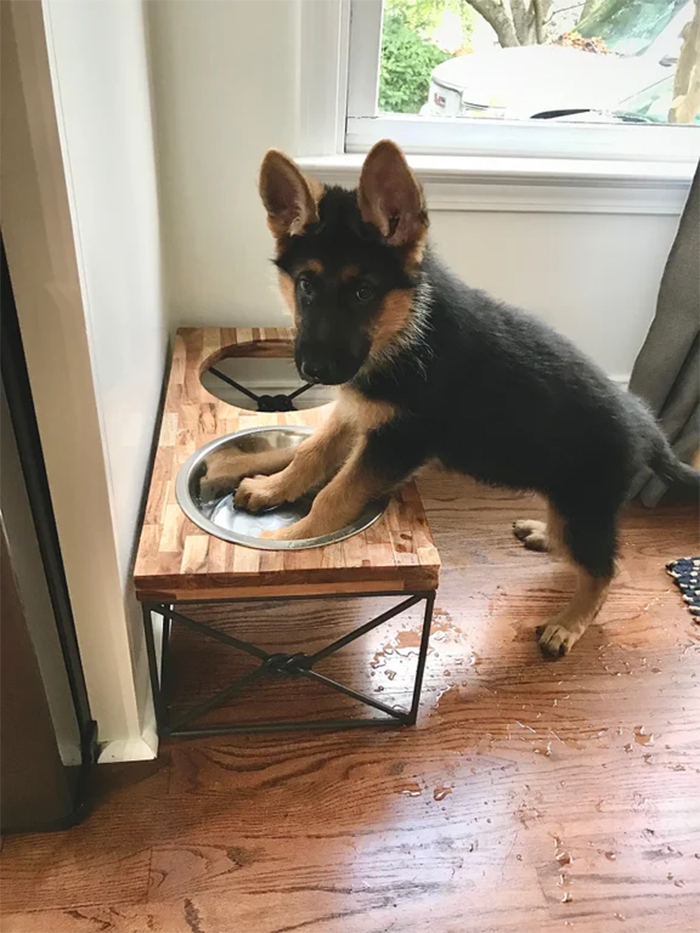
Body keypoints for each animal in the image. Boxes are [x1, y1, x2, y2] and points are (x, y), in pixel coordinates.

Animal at [232, 140, 696, 656]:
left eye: (363, 292)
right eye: (306, 285)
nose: (314, 371)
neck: (406, 328)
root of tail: (648, 427)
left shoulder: (398, 442)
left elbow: (335, 494)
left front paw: (291, 539)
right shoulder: (359, 411)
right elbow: (311, 453)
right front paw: (272, 488)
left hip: (585, 504)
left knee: (605, 569)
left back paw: (569, 623)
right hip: (571, 503)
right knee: (575, 543)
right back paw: (543, 534)